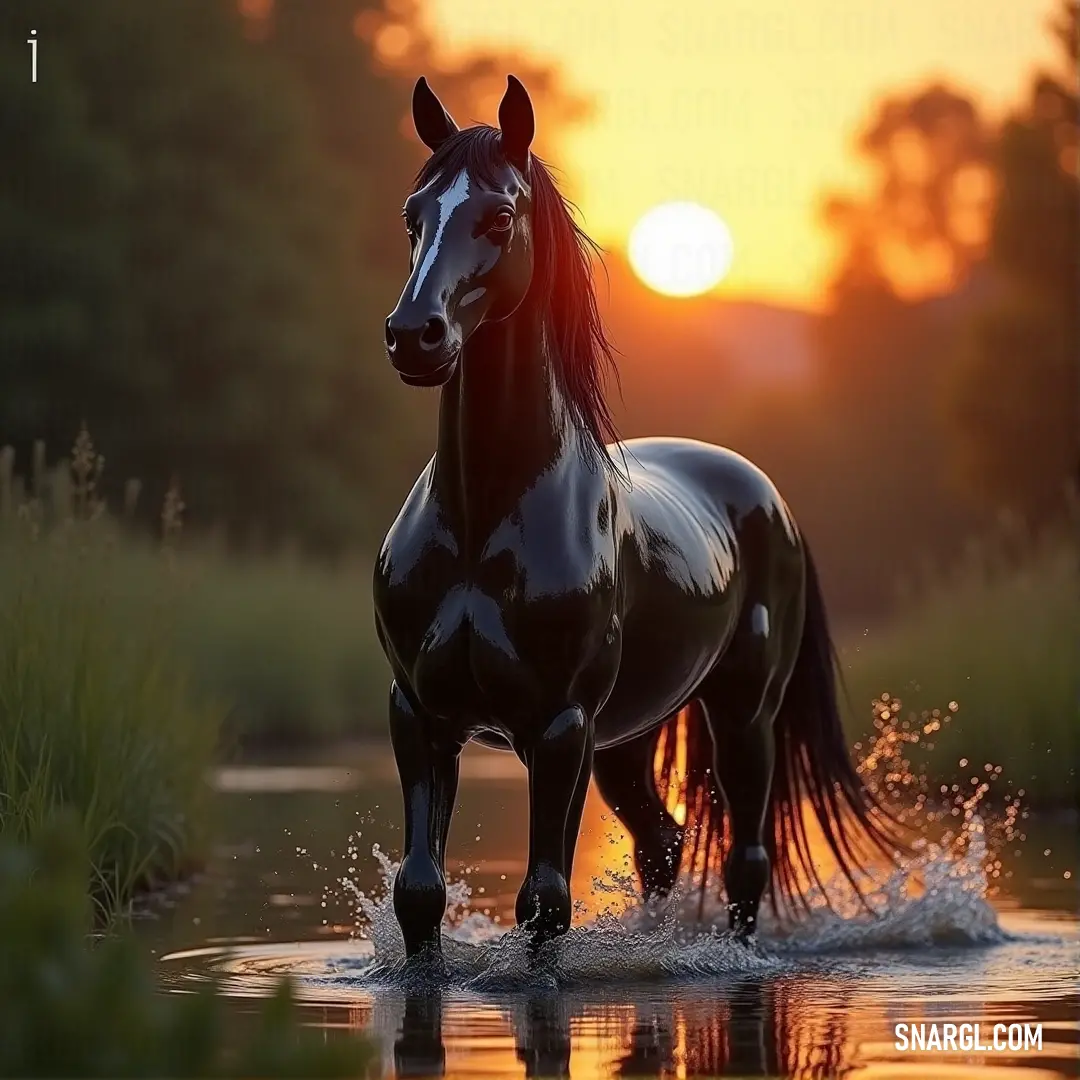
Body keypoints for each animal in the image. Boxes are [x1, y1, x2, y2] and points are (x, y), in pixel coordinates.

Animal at [371, 71, 894, 959]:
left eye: (499, 217)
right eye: (414, 214)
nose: (415, 336)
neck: (484, 520)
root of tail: (770, 501)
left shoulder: (559, 725)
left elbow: (545, 899)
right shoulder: (423, 716)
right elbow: (420, 892)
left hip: (739, 716)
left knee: (746, 863)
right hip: (626, 740)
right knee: (663, 842)